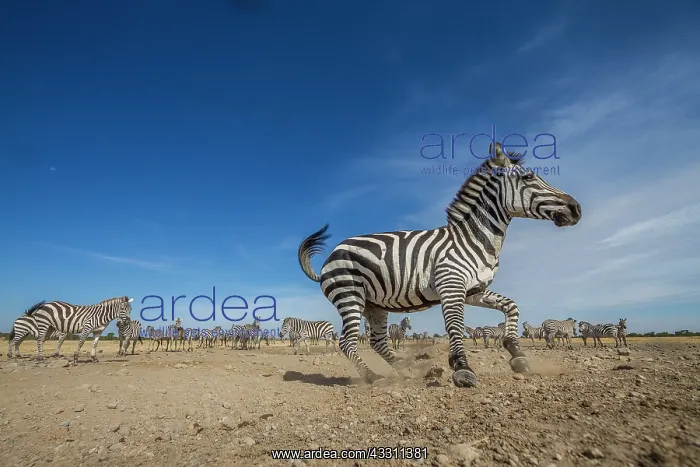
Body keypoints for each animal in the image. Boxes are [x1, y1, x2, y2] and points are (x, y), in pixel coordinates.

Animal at [297, 142, 582, 386]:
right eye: (528, 178)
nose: (576, 209)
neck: (473, 238)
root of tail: (330, 257)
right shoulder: (451, 286)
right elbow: (455, 325)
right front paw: (463, 369)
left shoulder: (474, 291)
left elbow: (511, 306)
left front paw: (516, 354)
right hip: (350, 296)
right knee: (347, 342)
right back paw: (372, 378)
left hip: (373, 305)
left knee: (377, 342)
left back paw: (408, 370)